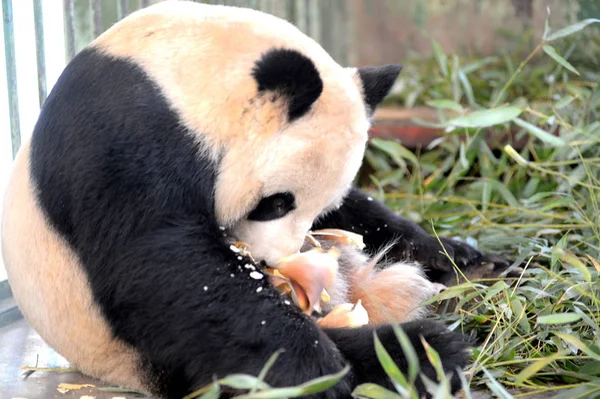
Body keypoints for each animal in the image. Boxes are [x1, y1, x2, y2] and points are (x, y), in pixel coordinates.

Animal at [2, 1, 512, 398]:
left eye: (319, 210)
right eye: (277, 203)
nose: (272, 260)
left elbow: (362, 212)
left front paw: (460, 255)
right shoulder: (124, 135)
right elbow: (159, 261)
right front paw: (316, 363)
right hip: (129, 347)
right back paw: (416, 351)